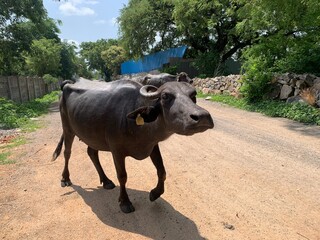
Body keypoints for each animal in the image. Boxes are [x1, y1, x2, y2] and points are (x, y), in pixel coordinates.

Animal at [52, 78, 212, 213]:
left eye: (193, 95)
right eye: (166, 96)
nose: (202, 117)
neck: (134, 122)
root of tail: (67, 84)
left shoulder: (152, 145)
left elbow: (162, 171)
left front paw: (155, 193)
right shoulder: (116, 150)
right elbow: (122, 176)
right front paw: (125, 202)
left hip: (92, 136)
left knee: (92, 152)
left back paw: (106, 181)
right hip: (67, 128)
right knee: (67, 152)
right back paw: (65, 178)